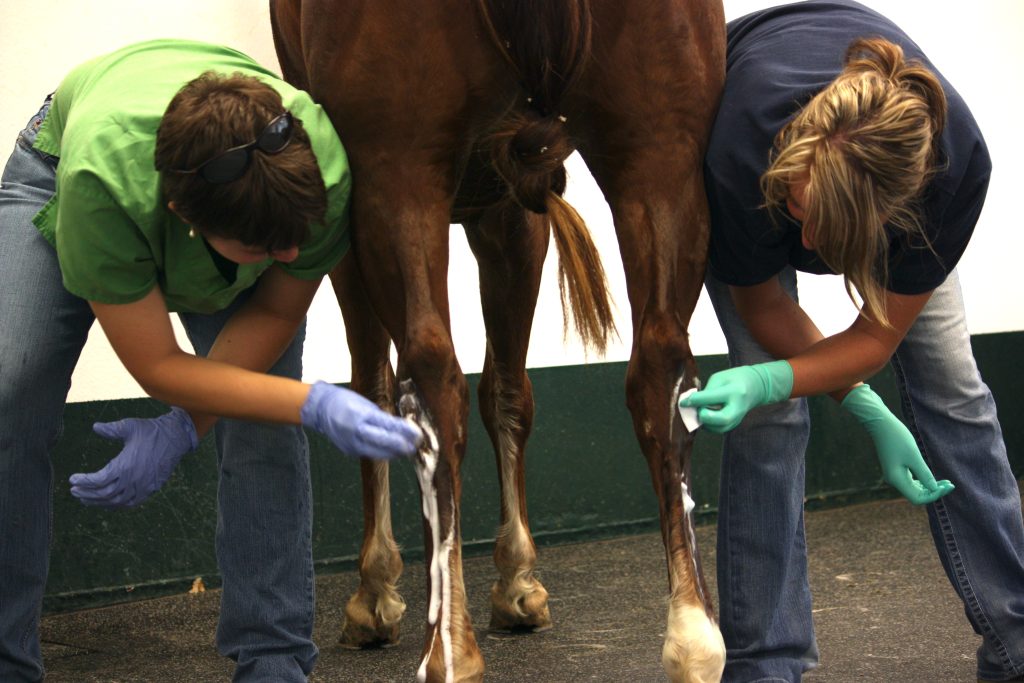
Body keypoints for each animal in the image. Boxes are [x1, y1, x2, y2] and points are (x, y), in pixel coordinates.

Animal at [269, 1, 726, 681]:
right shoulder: (512, 213)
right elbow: (510, 394)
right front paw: (517, 581)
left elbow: (375, 388)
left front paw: (376, 591)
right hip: (657, 154)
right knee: (660, 365)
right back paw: (693, 634)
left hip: (398, 170)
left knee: (431, 376)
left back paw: (447, 648)